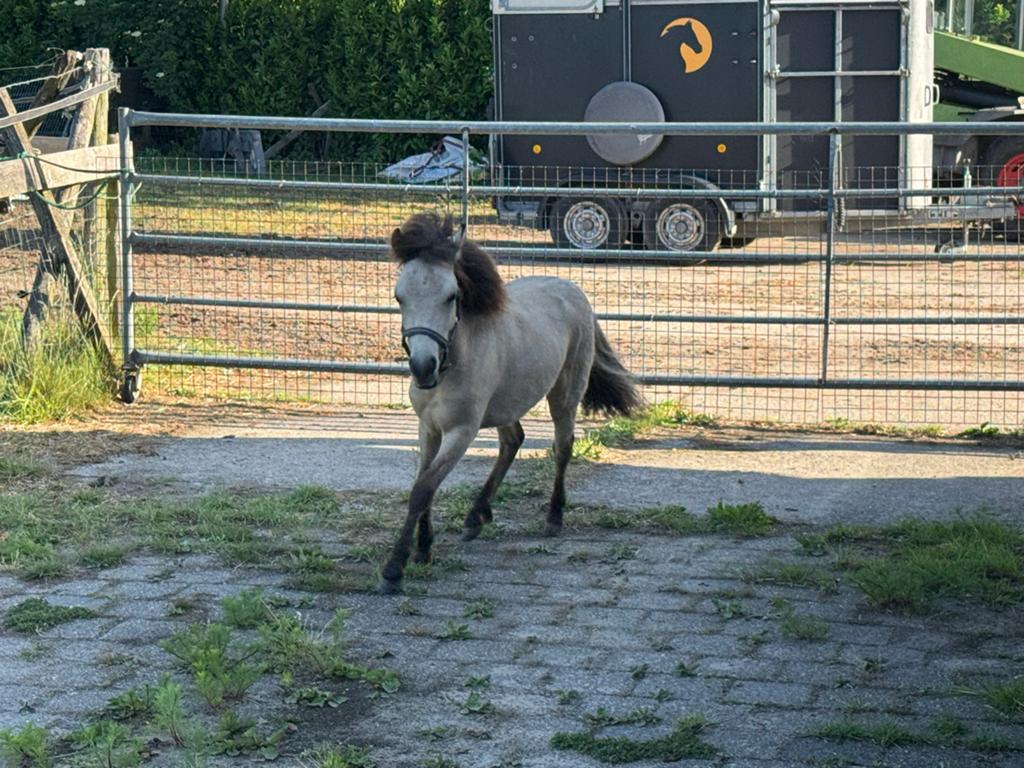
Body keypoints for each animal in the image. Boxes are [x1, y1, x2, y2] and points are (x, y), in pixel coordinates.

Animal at [380, 212, 641, 593]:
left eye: (451, 296)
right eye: (399, 297)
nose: (422, 366)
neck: (454, 361)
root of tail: (573, 290)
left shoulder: (461, 432)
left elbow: (423, 488)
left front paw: (394, 569)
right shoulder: (428, 428)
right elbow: (422, 483)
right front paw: (423, 549)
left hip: (564, 395)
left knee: (563, 447)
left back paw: (553, 518)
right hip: (506, 403)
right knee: (513, 441)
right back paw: (476, 516)